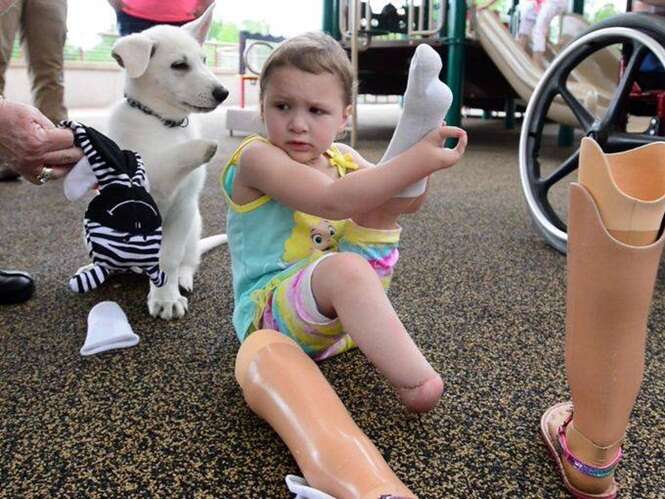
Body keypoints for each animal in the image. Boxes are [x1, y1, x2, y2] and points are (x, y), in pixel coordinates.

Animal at [109, 4, 228, 320]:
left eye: (204, 60)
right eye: (179, 65)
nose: (223, 93)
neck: (163, 122)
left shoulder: (182, 208)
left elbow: (169, 260)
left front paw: (167, 297)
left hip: (193, 226)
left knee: (188, 260)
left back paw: (183, 279)